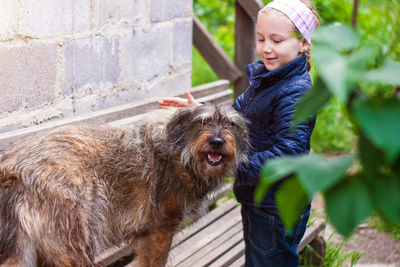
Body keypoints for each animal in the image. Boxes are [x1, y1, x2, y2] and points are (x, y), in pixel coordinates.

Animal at [0, 104, 248, 267]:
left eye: (231, 124)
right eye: (202, 121)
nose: (217, 142)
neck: (182, 152)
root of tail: (13, 167)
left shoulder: (147, 235)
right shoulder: (161, 230)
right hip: (74, 245)